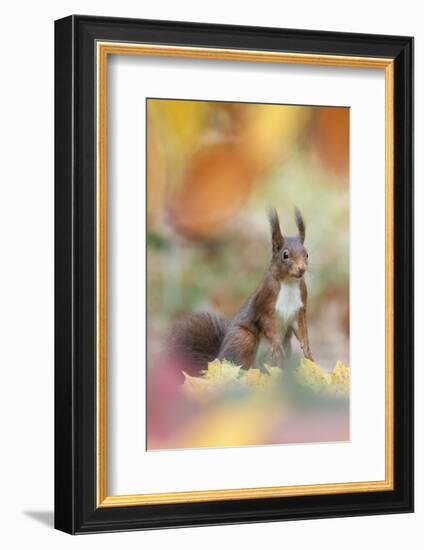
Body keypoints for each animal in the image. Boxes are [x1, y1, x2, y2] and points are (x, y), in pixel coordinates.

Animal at [171, 209, 314, 374]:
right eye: (285, 255)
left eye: (307, 254)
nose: (302, 269)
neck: (289, 283)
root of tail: (217, 360)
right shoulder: (265, 300)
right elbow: (267, 323)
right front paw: (276, 344)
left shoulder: (299, 307)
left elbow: (301, 328)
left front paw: (307, 350)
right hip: (244, 339)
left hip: (284, 347)